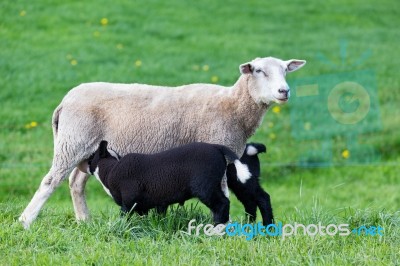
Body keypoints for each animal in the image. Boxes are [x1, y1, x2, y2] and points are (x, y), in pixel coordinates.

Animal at [18, 56, 304, 229]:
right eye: (259, 71)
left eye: (285, 71)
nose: (284, 91)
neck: (232, 105)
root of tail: (66, 100)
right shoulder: (216, 147)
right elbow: (222, 193)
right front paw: (222, 226)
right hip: (73, 141)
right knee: (50, 181)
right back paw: (25, 221)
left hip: (87, 151)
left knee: (75, 183)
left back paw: (84, 221)